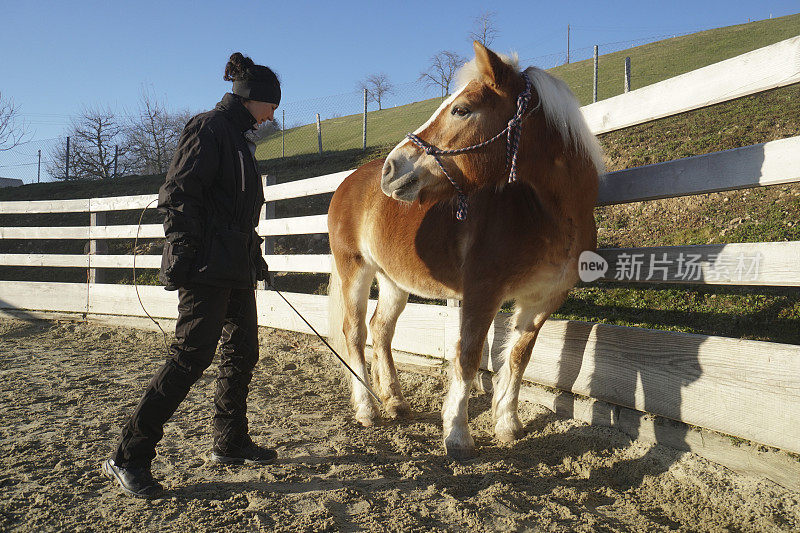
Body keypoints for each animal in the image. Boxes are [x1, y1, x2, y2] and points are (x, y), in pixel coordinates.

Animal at [328, 42, 604, 458]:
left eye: (461, 109)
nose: (391, 169)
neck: (546, 215)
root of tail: (350, 181)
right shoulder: (481, 292)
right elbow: (469, 354)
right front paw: (457, 434)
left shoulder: (542, 300)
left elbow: (519, 356)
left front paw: (508, 424)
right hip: (355, 271)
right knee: (355, 332)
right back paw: (366, 410)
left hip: (394, 281)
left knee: (381, 330)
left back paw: (395, 401)